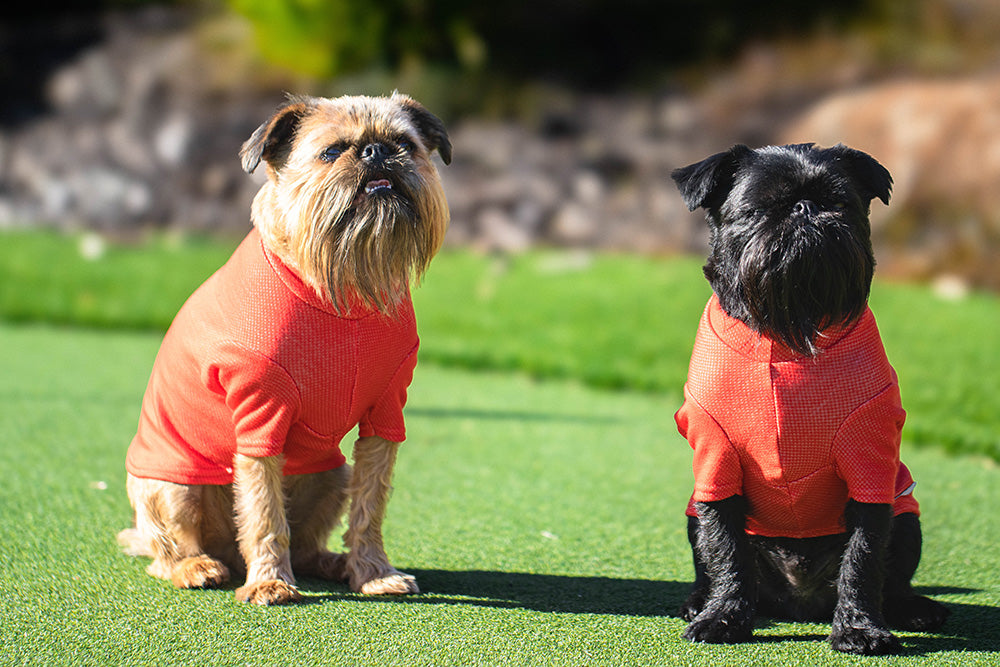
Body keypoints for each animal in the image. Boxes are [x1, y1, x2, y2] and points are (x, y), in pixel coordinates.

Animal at [119, 94, 456, 604]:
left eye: (405, 144)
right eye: (332, 152)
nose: (376, 152)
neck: (343, 290)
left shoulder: (385, 414)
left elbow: (370, 505)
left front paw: (374, 572)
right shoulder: (259, 416)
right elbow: (263, 512)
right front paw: (270, 582)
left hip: (333, 474)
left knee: (307, 542)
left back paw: (333, 564)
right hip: (172, 485)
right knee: (166, 553)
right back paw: (198, 566)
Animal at [672, 144, 944, 656]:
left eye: (840, 203)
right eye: (761, 209)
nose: (804, 209)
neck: (789, 336)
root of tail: (800, 601)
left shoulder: (870, 468)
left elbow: (864, 557)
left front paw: (860, 627)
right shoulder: (716, 466)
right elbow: (726, 549)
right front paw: (724, 617)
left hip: (908, 515)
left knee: (894, 577)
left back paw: (913, 608)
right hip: (693, 509)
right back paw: (701, 601)